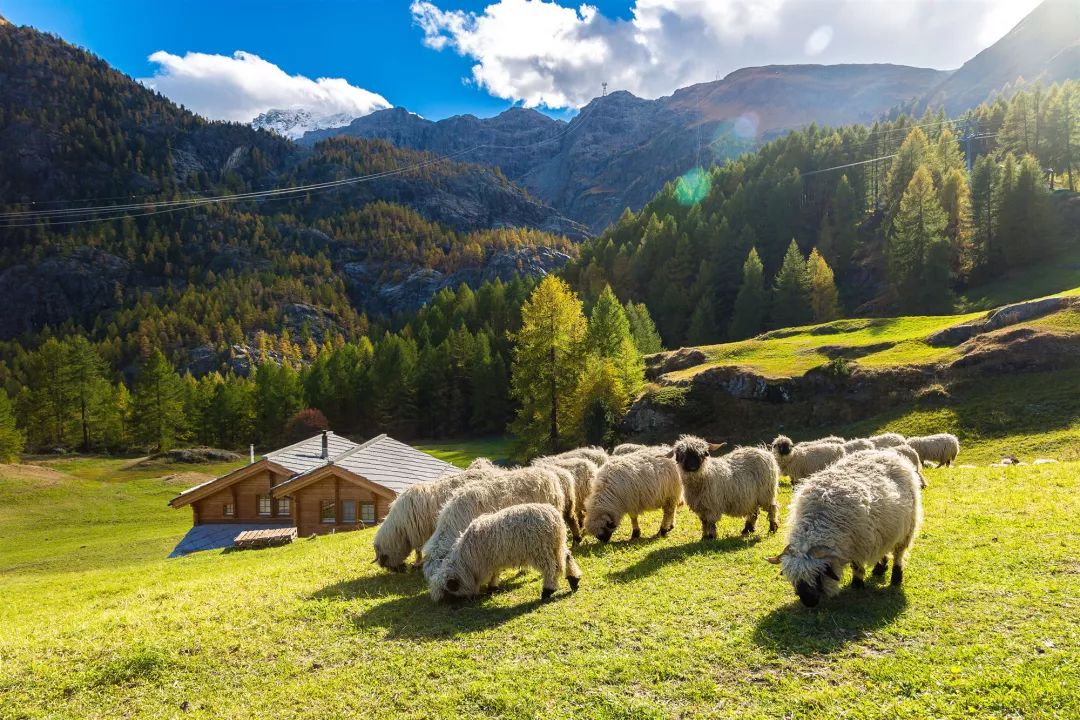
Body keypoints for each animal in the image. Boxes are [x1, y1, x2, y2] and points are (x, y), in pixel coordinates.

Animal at [427, 505, 583, 604]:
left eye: (448, 591)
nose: (451, 608)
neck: (466, 563)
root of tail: (555, 519)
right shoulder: (493, 562)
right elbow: (495, 574)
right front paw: (493, 588)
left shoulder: (485, 565)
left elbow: (490, 576)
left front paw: (489, 588)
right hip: (556, 545)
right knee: (567, 557)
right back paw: (574, 580)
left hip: (540, 550)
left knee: (551, 568)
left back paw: (547, 591)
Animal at [764, 451, 924, 608]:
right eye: (794, 579)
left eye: (818, 575)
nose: (809, 602)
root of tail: (889, 453)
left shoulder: (858, 545)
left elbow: (857, 566)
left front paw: (857, 584)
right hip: (885, 530)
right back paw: (879, 569)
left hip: (908, 528)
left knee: (899, 554)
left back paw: (896, 578)